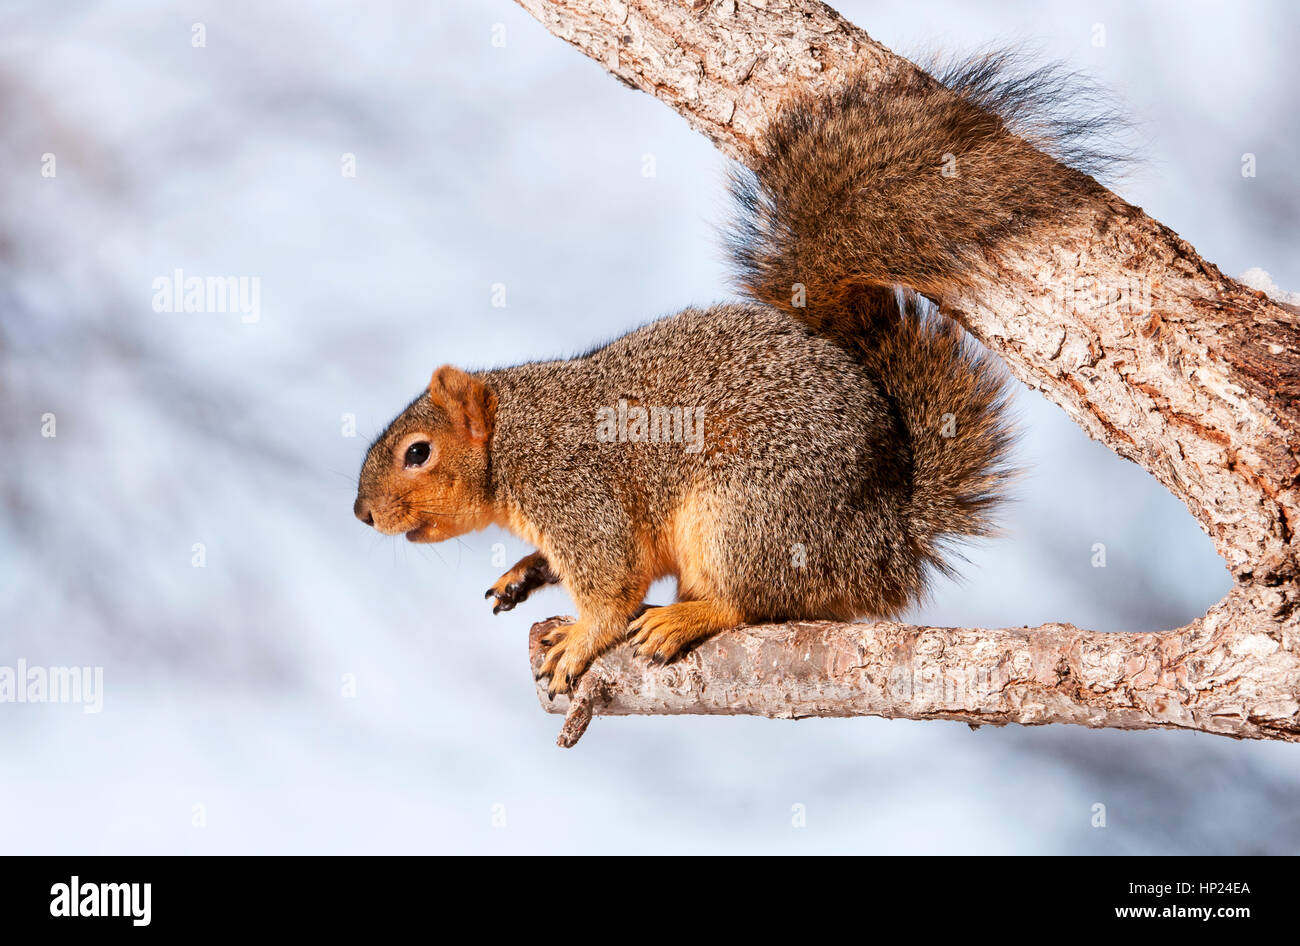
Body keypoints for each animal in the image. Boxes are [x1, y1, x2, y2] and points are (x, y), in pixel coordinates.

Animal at [354, 52, 1120, 695]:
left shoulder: (575, 489)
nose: (362, 514)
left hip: (749, 513)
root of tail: (887, 543)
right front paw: (520, 575)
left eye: (417, 453)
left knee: (756, 601)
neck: (515, 438)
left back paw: (688, 617)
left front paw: (580, 637)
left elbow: (612, 585)